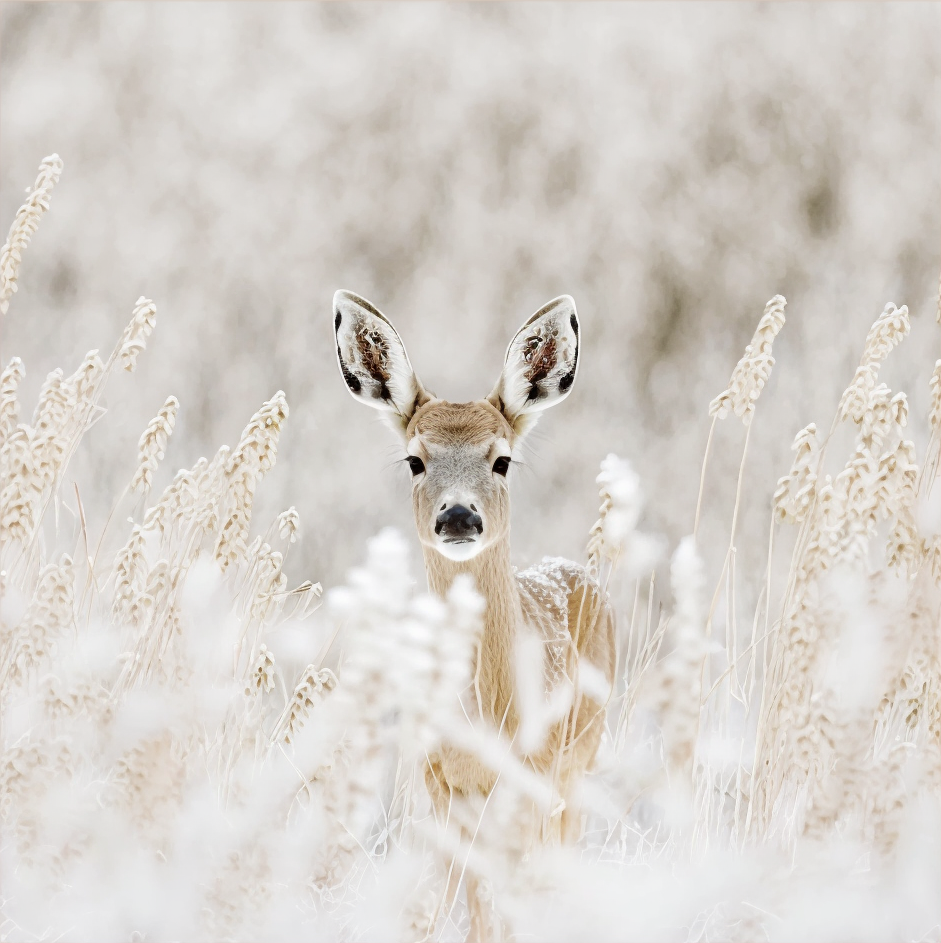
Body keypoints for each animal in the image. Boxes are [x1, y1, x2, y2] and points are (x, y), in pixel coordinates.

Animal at [332, 292, 616, 940]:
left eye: (502, 461)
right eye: (415, 460)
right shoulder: (436, 780)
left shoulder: (532, 782)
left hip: (581, 762)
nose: (458, 516)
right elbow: (453, 908)